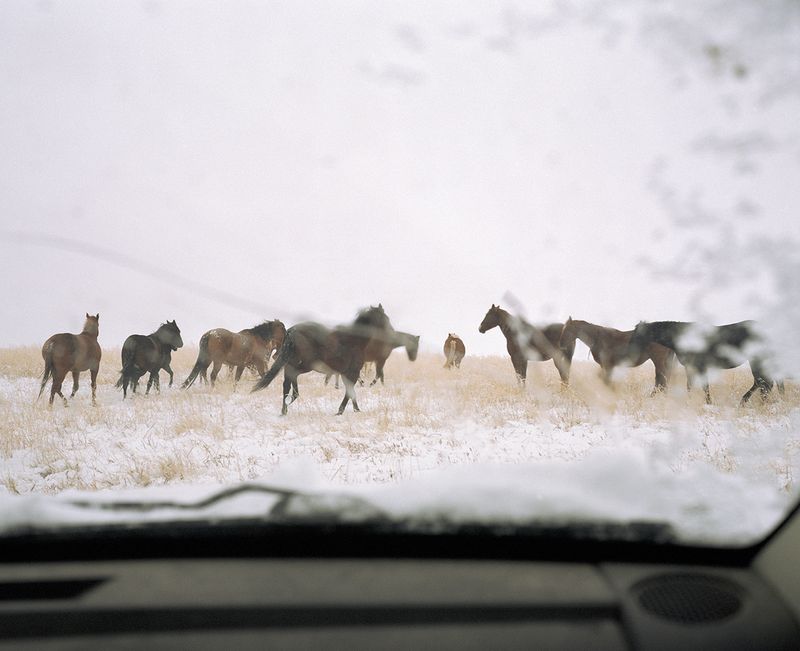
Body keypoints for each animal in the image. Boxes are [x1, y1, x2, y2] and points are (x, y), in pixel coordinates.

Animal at [252, 305, 393, 415]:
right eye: (385, 318)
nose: (391, 332)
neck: (354, 341)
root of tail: (291, 332)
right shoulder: (352, 372)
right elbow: (350, 392)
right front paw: (341, 411)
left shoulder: (345, 374)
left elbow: (351, 392)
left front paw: (356, 410)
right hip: (305, 365)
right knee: (292, 378)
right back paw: (291, 400)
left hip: (291, 364)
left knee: (286, 384)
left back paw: (285, 409)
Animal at [628, 320, 781, 404]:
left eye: (637, 335)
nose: (630, 350)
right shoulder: (690, 367)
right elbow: (690, 386)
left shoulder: (701, 366)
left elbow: (704, 386)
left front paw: (708, 403)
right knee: (763, 383)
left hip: (756, 360)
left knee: (762, 382)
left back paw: (745, 401)